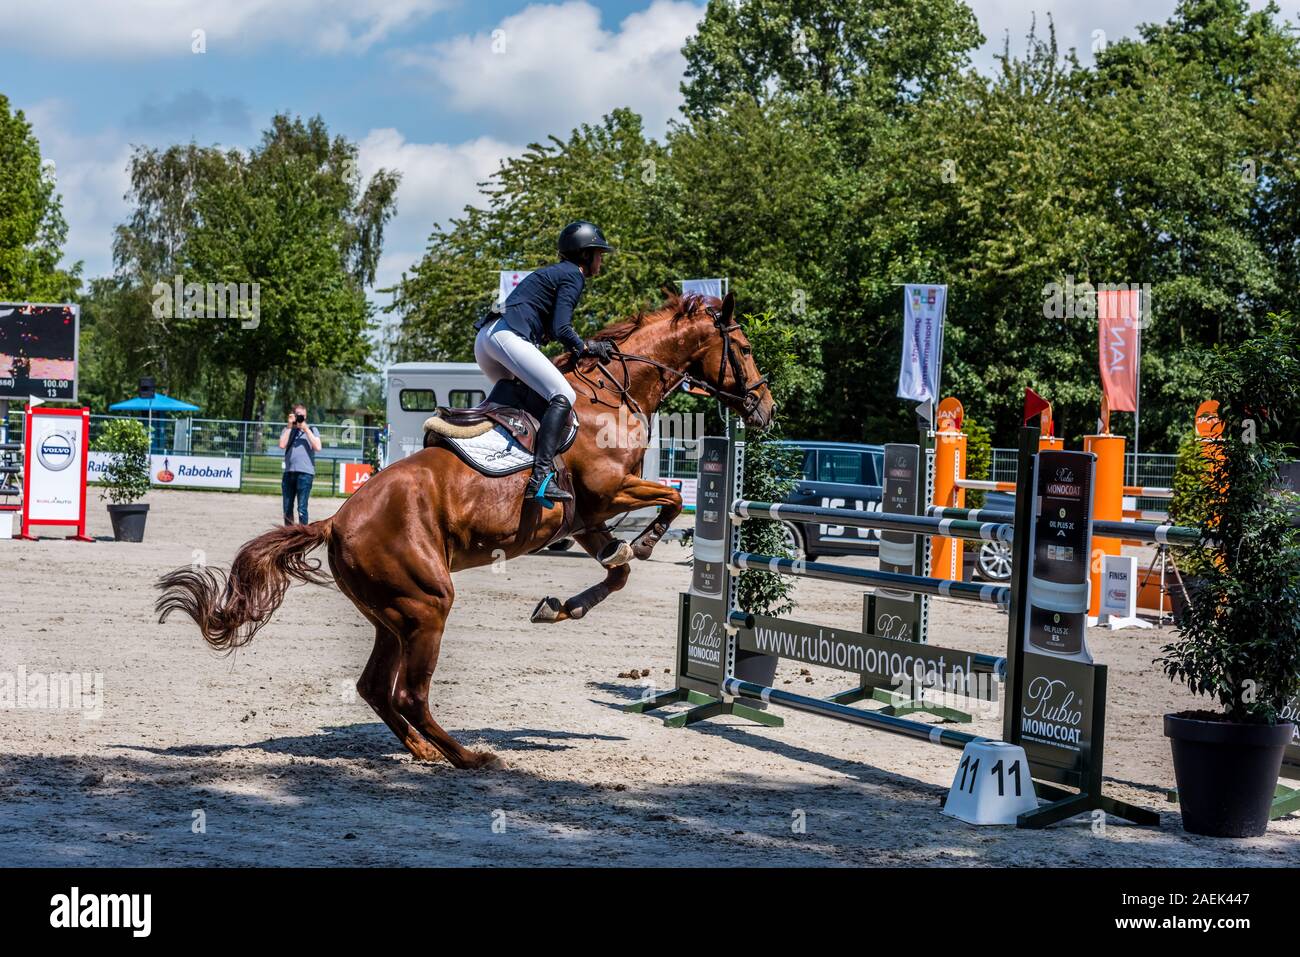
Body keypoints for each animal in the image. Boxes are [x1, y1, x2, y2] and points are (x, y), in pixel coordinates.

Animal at [157, 291, 774, 769]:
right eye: (743, 348)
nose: (765, 407)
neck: (613, 397)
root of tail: (335, 520)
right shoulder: (607, 493)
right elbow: (670, 500)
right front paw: (643, 543)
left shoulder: (585, 518)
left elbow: (617, 570)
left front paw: (560, 605)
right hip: (429, 603)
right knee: (410, 692)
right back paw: (469, 756)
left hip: (394, 614)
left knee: (375, 687)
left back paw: (425, 751)